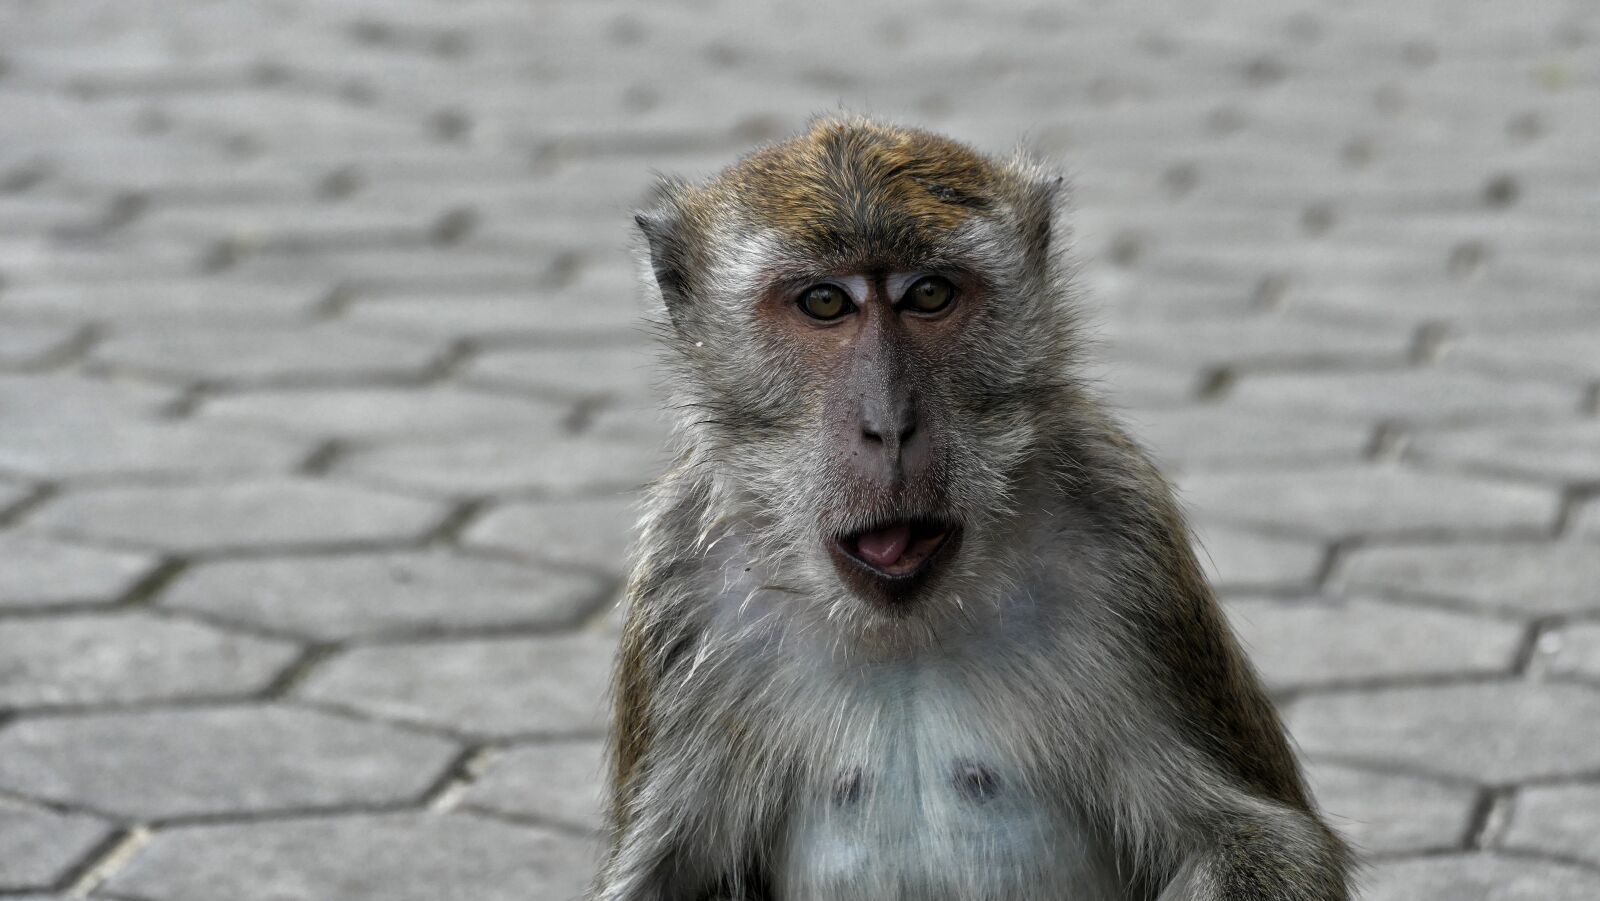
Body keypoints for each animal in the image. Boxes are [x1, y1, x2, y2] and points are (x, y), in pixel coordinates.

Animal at [596, 116, 1353, 901]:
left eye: (929, 294)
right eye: (825, 303)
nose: (889, 424)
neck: (902, 627)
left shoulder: (1127, 541)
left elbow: (1258, 842)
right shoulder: (682, 588)